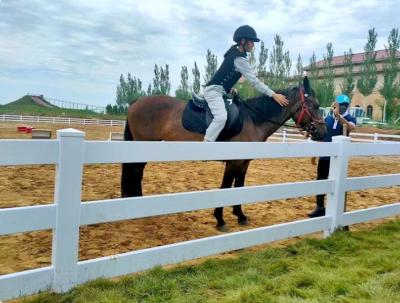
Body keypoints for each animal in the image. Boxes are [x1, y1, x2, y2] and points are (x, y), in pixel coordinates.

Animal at [120, 77, 326, 232]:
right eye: (315, 105)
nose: (323, 133)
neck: (252, 120)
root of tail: (136, 102)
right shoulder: (233, 163)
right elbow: (226, 188)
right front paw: (220, 220)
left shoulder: (244, 163)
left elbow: (238, 187)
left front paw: (240, 215)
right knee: (136, 172)